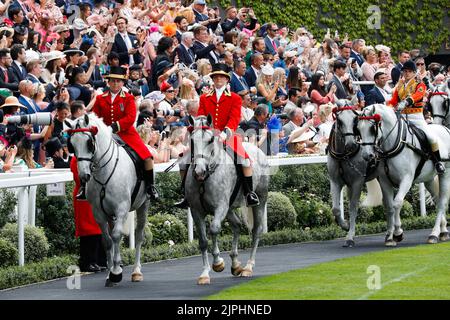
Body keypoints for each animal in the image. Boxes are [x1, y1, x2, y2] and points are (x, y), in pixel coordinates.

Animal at [66, 114, 149, 286]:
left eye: (89, 143)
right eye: (72, 145)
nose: (84, 175)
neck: (104, 171)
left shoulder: (121, 208)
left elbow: (116, 235)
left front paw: (116, 272)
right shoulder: (98, 212)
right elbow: (107, 240)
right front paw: (111, 273)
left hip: (143, 205)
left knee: (138, 235)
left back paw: (136, 271)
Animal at [185, 115, 268, 284]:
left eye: (210, 140)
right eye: (192, 140)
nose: (199, 172)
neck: (205, 178)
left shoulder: (220, 207)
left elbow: (214, 229)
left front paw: (218, 263)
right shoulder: (196, 211)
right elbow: (203, 241)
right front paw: (205, 273)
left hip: (260, 201)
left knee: (256, 231)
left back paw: (248, 267)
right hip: (230, 208)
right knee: (237, 225)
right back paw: (235, 264)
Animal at [326, 102, 380, 248]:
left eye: (355, 120)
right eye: (339, 121)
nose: (351, 143)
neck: (343, 156)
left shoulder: (357, 182)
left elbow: (353, 207)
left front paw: (350, 236)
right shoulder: (335, 181)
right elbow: (335, 209)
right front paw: (345, 225)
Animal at [358, 104, 450, 245]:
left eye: (372, 128)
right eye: (358, 129)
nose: (367, 155)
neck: (395, 143)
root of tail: (445, 128)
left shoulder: (406, 179)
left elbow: (397, 203)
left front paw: (397, 233)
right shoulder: (384, 181)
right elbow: (389, 206)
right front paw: (390, 236)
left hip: (445, 174)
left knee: (442, 202)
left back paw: (434, 234)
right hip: (429, 179)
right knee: (437, 199)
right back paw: (443, 231)